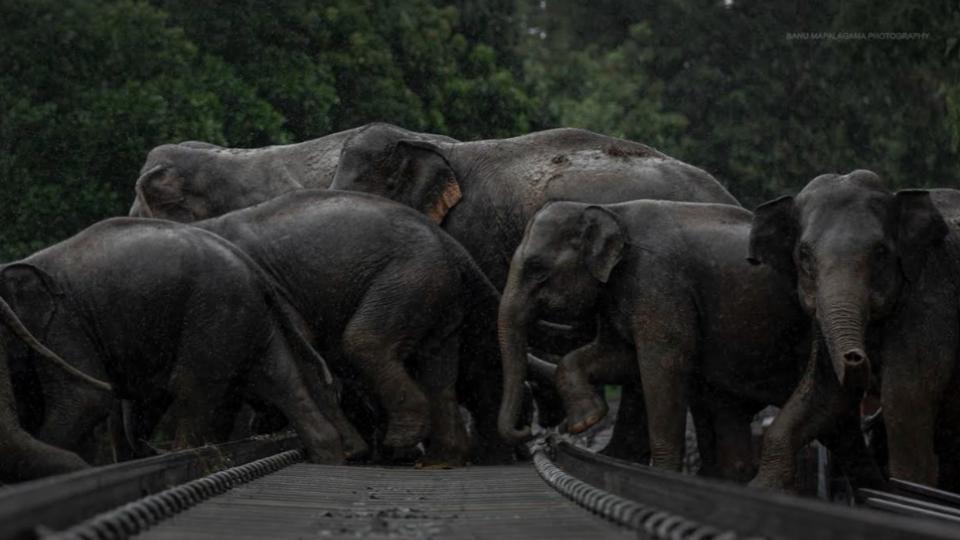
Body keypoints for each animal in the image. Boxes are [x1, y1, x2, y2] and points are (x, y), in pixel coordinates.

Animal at [0, 218, 352, 482]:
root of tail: (254, 269)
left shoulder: (64, 325)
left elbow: (85, 400)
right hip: (247, 316)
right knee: (280, 379)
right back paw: (329, 456)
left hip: (213, 313)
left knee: (196, 395)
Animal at [192, 189, 508, 466]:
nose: (259, 425)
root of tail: (452, 245)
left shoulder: (272, 290)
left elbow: (303, 353)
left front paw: (351, 451)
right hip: (437, 289)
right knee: (436, 366)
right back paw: (441, 459)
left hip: (410, 276)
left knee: (365, 342)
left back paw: (401, 442)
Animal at [496, 199, 885, 491]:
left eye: (537, 269)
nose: (533, 433)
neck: (608, 210)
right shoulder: (619, 291)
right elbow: (620, 357)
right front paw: (585, 420)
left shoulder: (657, 282)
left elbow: (662, 363)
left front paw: (661, 476)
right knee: (842, 433)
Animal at [748, 170, 960, 490]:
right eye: (804, 255)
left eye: (881, 252)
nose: (856, 357)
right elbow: (822, 394)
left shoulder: (930, 305)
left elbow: (904, 404)